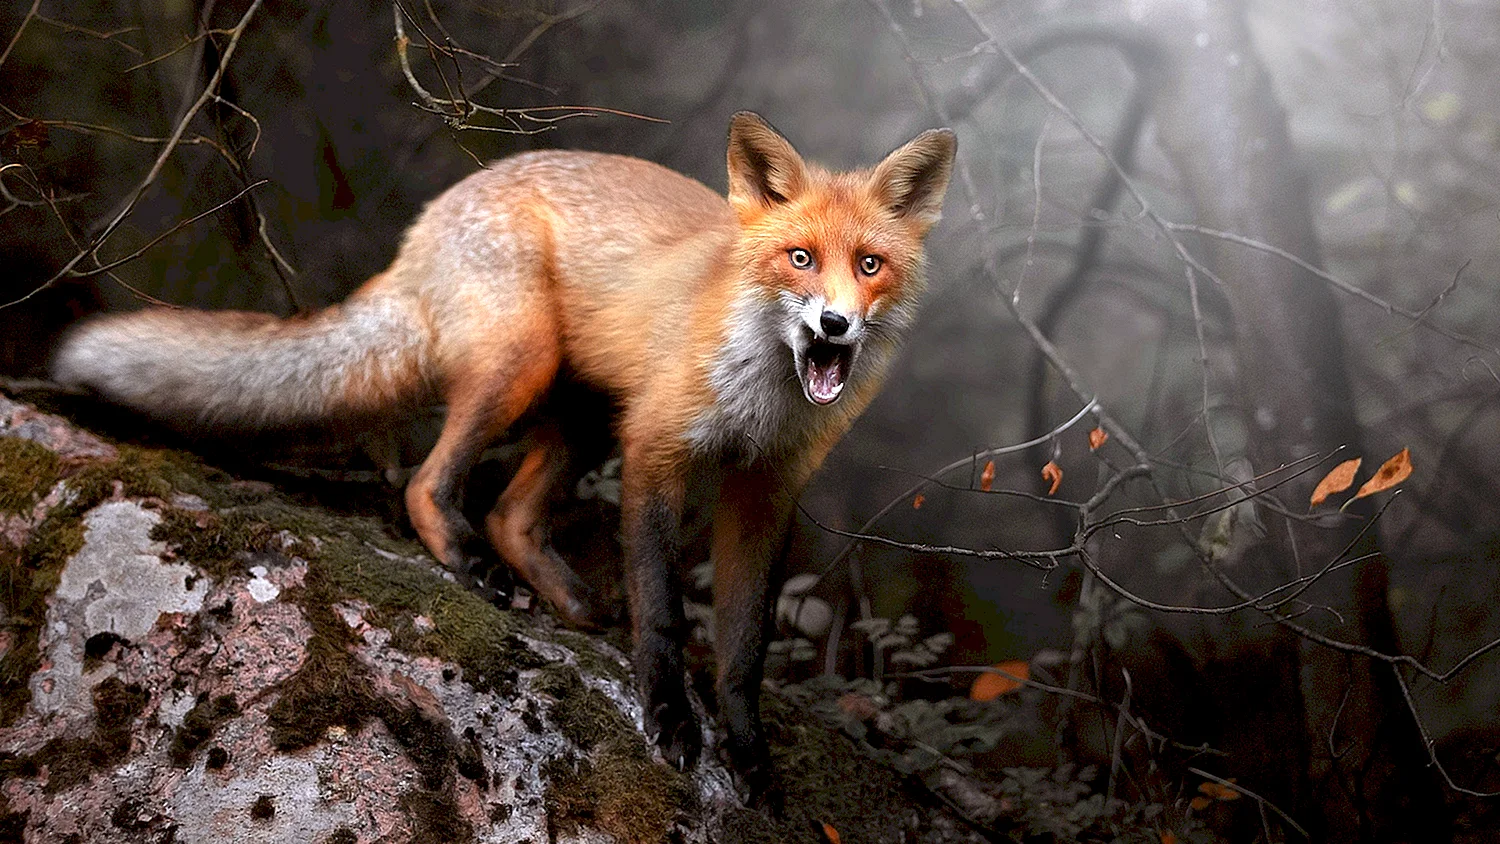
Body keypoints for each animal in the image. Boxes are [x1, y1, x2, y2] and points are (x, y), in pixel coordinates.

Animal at [50, 112, 955, 801]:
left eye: (869, 265)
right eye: (799, 258)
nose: (834, 325)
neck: (762, 397)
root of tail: (437, 211)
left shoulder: (764, 490)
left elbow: (744, 647)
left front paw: (748, 754)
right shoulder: (656, 449)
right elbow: (665, 610)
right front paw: (669, 718)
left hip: (583, 413)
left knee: (510, 513)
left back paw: (567, 599)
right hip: (522, 366)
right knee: (427, 483)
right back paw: (466, 562)